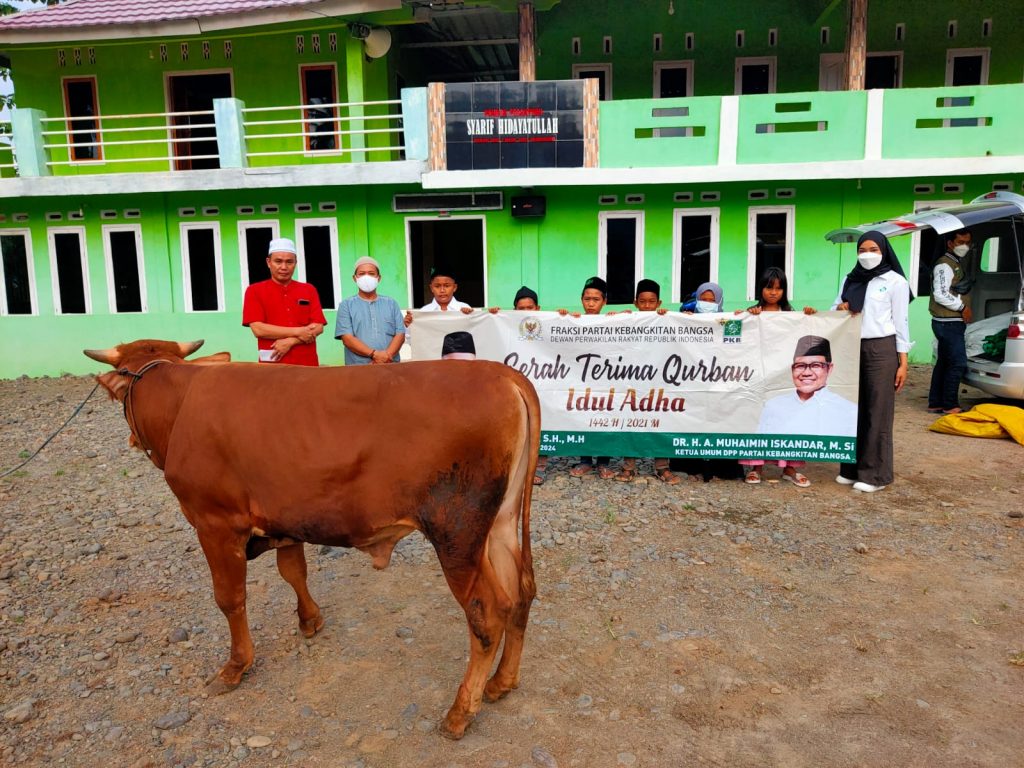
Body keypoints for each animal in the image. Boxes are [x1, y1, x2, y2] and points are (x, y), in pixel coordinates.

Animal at [83, 339, 540, 737]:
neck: (180, 405)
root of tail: (499, 373)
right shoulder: (287, 519)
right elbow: (294, 572)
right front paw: (309, 620)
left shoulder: (215, 523)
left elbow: (230, 598)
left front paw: (235, 666)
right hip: (499, 525)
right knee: (519, 594)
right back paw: (501, 682)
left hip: (456, 532)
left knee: (487, 614)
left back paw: (460, 712)